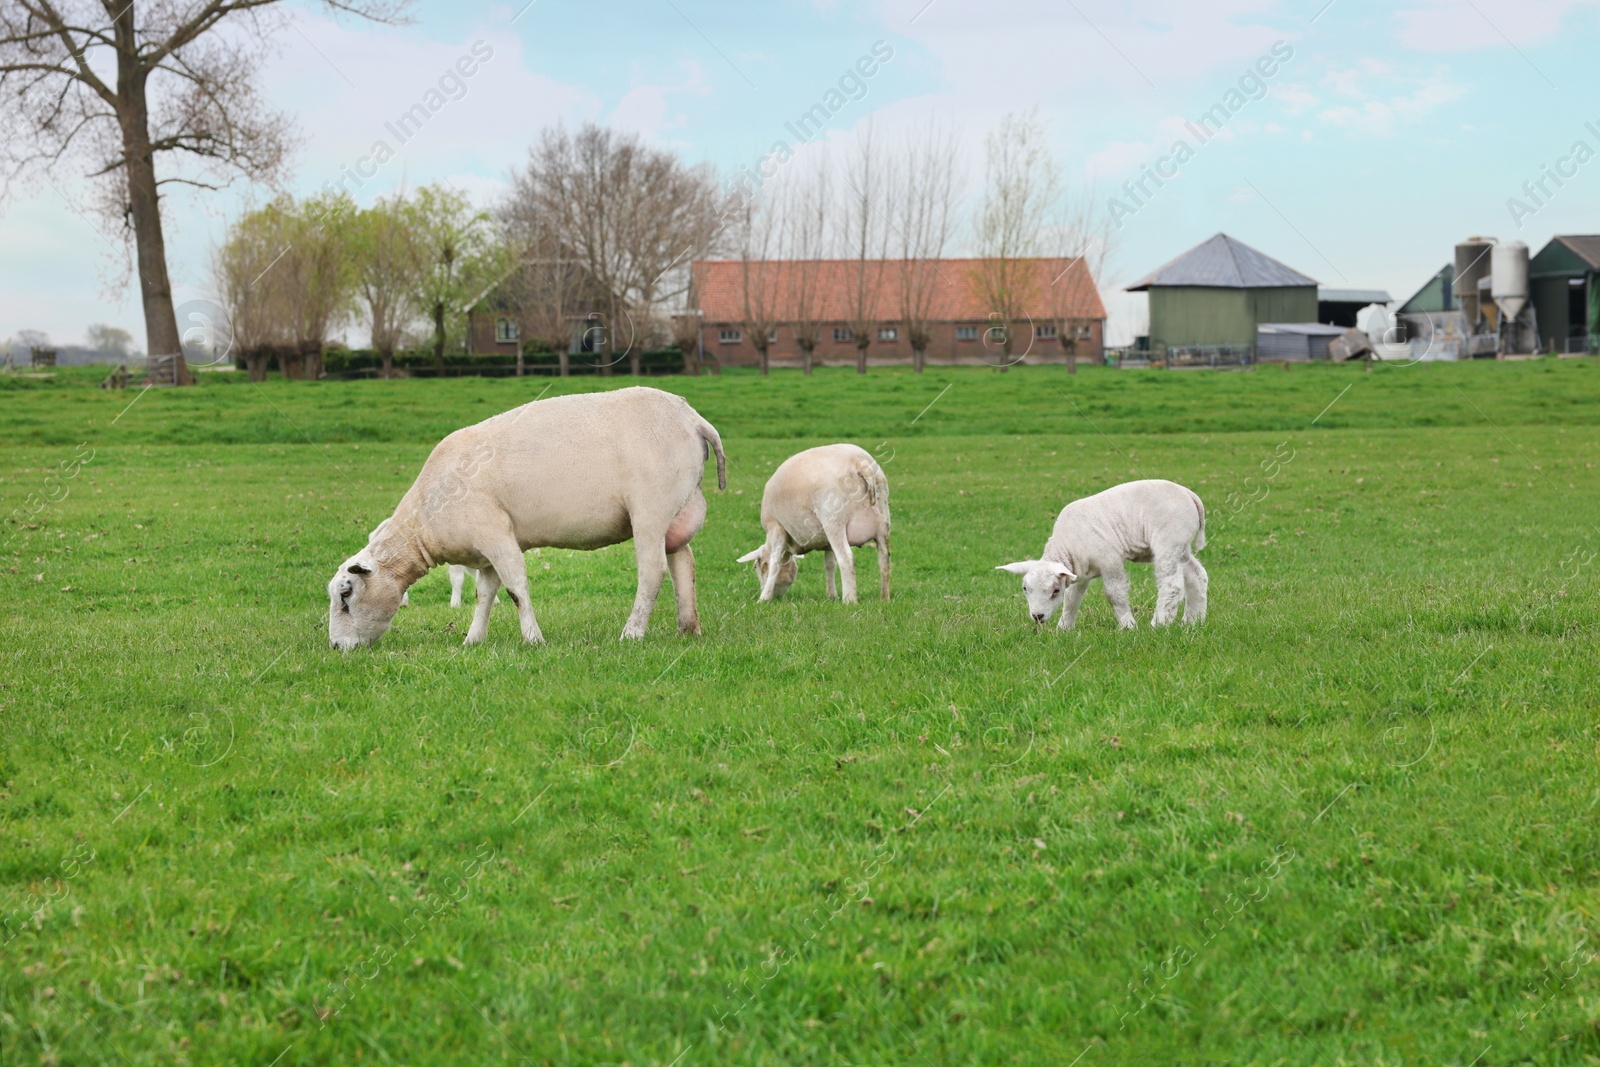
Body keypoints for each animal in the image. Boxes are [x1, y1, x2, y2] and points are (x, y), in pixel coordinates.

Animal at [328, 385, 729, 652]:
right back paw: (687, 628)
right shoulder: (485, 548)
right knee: (683, 563)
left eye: (346, 595)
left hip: (649, 510)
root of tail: (692, 418)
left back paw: (632, 633)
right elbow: (485, 593)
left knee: (652, 571)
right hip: (676, 511)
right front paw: (473, 640)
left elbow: (516, 588)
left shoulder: (495, 534)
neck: (427, 516)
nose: (335, 647)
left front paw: (533, 639)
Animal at [732, 441, 889, 604]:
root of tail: (861, 464)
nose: (776, 597)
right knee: (884, 558)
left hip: (833, 521)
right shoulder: (825, 540)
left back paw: (849, 600)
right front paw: (831, 596)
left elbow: (775, 563)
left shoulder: (776, 527)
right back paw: (885, 598)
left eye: (755, 567)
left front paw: (763, 599)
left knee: (846, 558)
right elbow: (829, 564)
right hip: (883, 519)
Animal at [992, 479, 1203, 630]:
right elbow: (1072, 599)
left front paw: (1128, 625)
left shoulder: (1110, 561)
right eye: (1025, 588)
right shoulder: (1078, 570)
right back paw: (1194, 620)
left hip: (1169, 541)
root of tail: (1190, 495)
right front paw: (1064, 628)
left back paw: (1159, 624)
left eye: (1055, 590)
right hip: (1181, 546)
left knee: (1172, 585)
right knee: (1197, 575)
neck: (1067, 543)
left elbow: (1114, 594)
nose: (1037, 616)